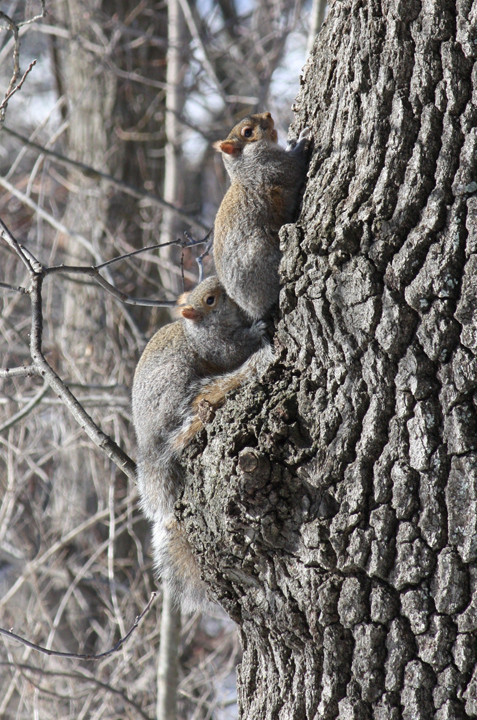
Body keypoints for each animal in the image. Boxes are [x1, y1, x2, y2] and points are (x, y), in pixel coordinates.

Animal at [132, 275, 270, 610]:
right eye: (210, 299)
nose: (223, 283)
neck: (199, 329)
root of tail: (149, 445)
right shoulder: (216, 347)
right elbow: (233, 352)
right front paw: (257, 331)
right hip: (175, 382)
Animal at [213, 111, 310, 320]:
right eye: (248, 132)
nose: (268, 114)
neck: (244, 165)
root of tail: (251, 308)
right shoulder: (272, 167)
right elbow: (296, 164)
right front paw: (301, 140)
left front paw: (291, 142)